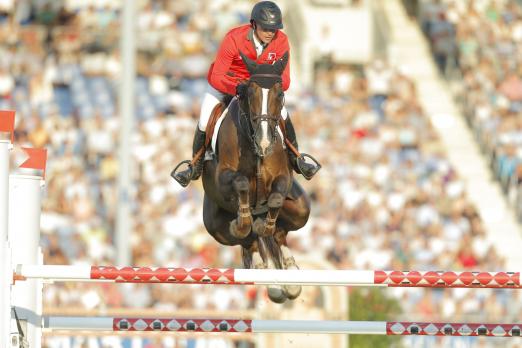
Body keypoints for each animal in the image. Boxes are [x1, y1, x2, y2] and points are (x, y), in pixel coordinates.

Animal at [199, 51, 308, 302]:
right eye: (250, 93)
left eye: (280, 93)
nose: (265, 142)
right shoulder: (224, 176)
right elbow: (241, 184)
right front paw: (244, 222)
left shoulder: (283, 178)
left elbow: (275, 201)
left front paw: (263, 226)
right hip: (216, 228)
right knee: (247, 241)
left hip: (300, 210)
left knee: (279, 234)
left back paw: (290, 279)